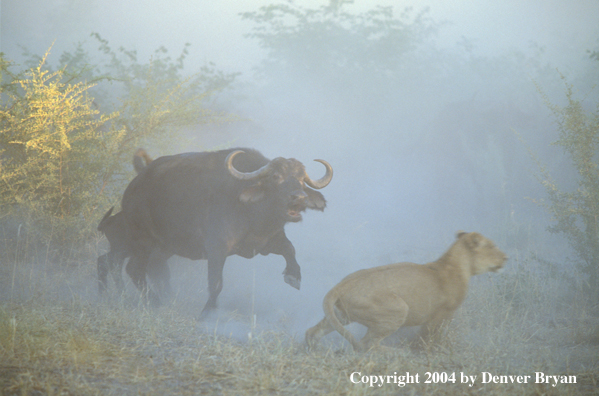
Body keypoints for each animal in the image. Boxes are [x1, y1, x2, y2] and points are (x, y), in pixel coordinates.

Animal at [119, 147, 330, 318]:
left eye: (302, 180)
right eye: (276, 177)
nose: (299, 198)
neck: (254, 216)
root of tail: (135, 184)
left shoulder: (268, 242)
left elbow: (290, 249)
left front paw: (293, 276)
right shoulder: (216, 250)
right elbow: (216, 284)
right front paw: (208, 312)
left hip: (166, 245)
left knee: (154, 267)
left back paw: (166, 297)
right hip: (142, 239)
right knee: (135, 269)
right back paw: (155, 302)